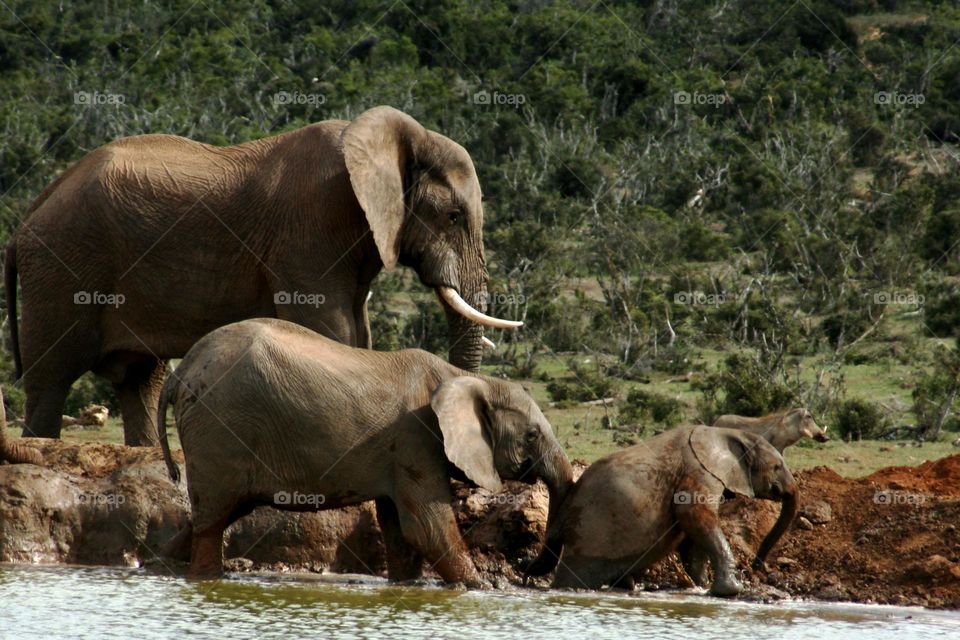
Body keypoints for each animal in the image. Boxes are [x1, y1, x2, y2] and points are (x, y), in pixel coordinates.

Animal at [5, 105, 516, 444]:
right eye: (453, 217)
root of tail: (29, 214)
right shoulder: (309, 227)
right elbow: (331, 329)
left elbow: (359, 331)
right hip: (62, 266)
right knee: (51, 379)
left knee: (139, 381)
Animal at [158, 318, 572, 584]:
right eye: (532, 435)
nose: (524, 571)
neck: (466, 379)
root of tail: (181, 371)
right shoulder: (415, 438)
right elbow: (426, 526)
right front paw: (485, 589)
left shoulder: (400, 450)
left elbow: (401, 530)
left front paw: (409, 588)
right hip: (219, 427)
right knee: (214, 517)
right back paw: (206, 579)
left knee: (218, 511)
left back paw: (162, 563)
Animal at [520, 424, 800, 596]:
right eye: (776, 466)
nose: (756, 565)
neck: (727, 433)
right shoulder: (700, 471)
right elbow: (693, 515)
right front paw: (730, 590)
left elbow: (692, 536)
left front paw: (700, 587)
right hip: (588, 534)